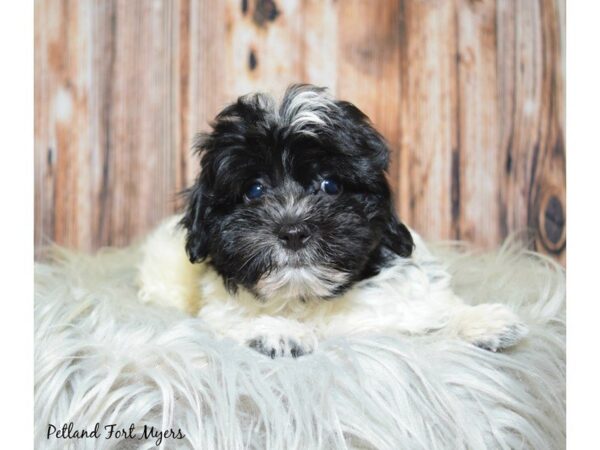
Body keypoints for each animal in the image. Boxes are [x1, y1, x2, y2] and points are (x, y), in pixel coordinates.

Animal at [135, 84, 524, 358]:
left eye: (331, 185)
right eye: (254, 190)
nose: (293, 232)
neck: (311, 298)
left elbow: (430, 312)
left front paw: (481, 321)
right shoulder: (219, 311)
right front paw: (280, 331)